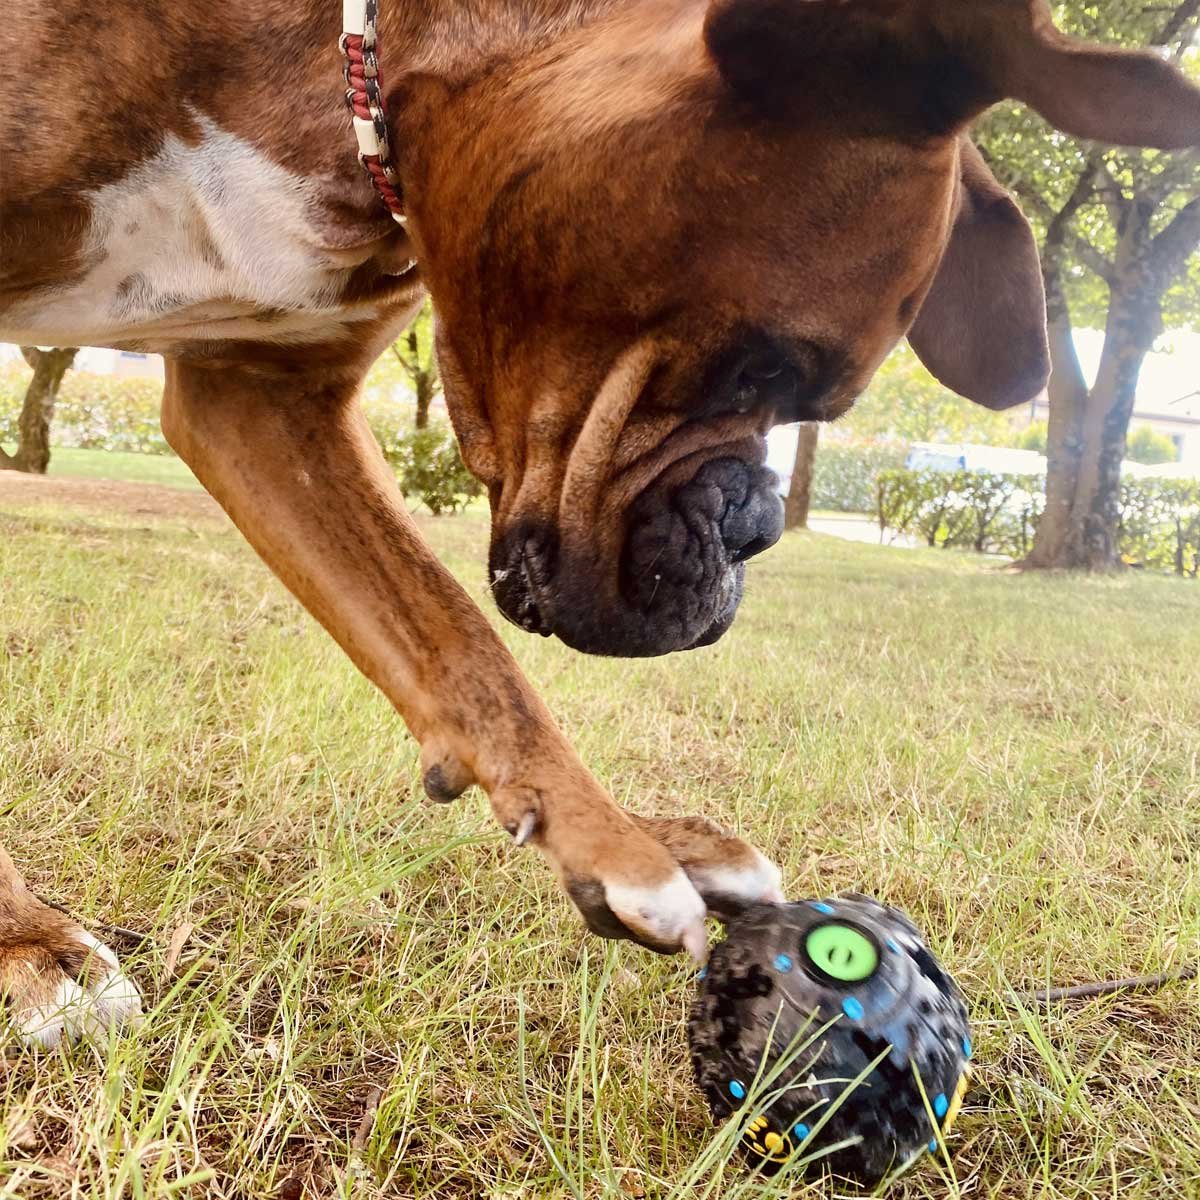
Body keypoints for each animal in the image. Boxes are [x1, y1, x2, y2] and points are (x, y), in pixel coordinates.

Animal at [2, 0, 1200, 1046]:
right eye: (757, 364)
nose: (755, 522)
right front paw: (29, 946)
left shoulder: (264, 397)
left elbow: (460, 647)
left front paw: (618, 840)